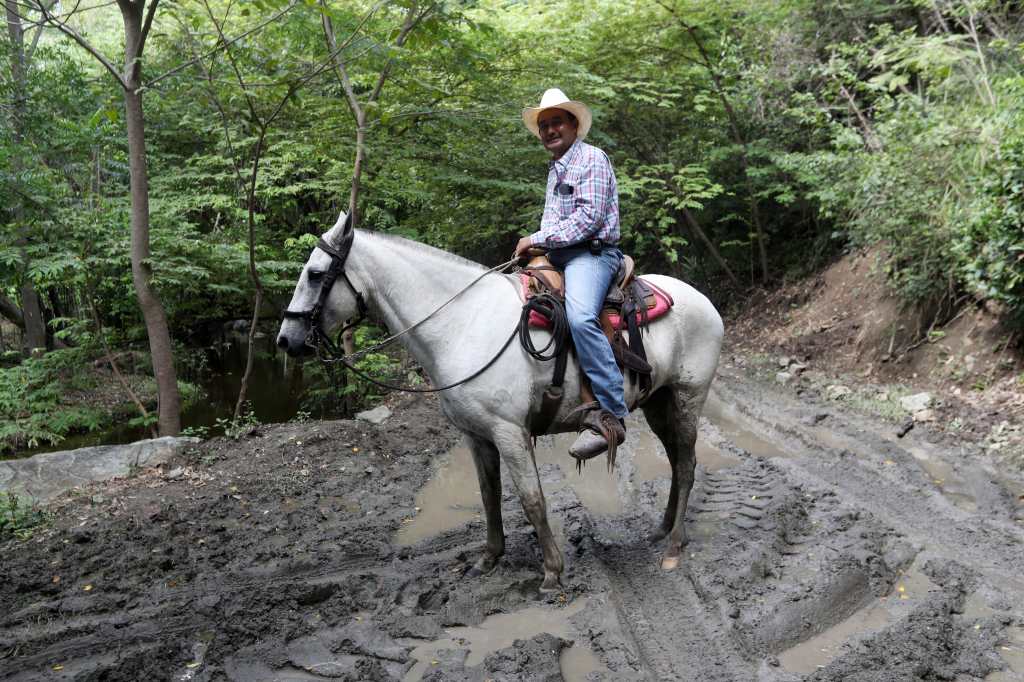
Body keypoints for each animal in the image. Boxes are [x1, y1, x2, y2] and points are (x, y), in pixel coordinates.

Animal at [276, 214, 724, 589]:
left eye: (315, 274)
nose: (285, 339)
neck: (463, 323)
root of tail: (705, 300)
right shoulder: (476, 435)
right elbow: (489, 495)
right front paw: (489, 558)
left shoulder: (509, 431)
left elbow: (531, 499)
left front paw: (551, 571)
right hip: (658, 402)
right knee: (675, 461)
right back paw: (664, 528)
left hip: (688, 397)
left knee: (687, 465)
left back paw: (674, 546)